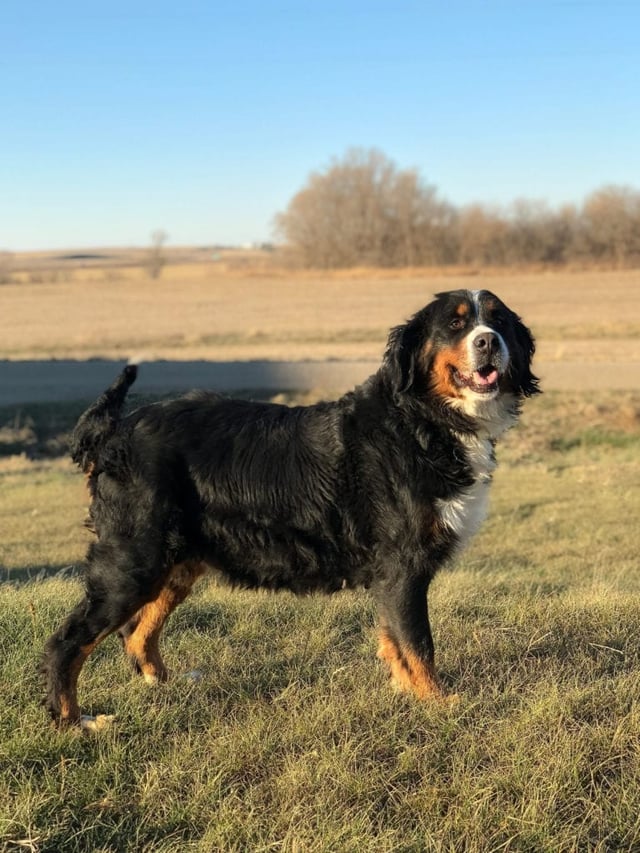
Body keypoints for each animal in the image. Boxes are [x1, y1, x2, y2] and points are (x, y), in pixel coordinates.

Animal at [41, 288, 540, 724]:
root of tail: (115, 431)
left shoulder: (392, 574)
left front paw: (407, 694)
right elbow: (418, 643)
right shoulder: (403, 565)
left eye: (497, 320)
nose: (487, 341)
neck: (421, 421)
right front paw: (438, 702)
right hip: (134, 561)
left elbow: (395, 641)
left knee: (137, 632)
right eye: (456, 323)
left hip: (174, 562)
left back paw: (166, 684)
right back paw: (74, 721)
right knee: (67, 642)